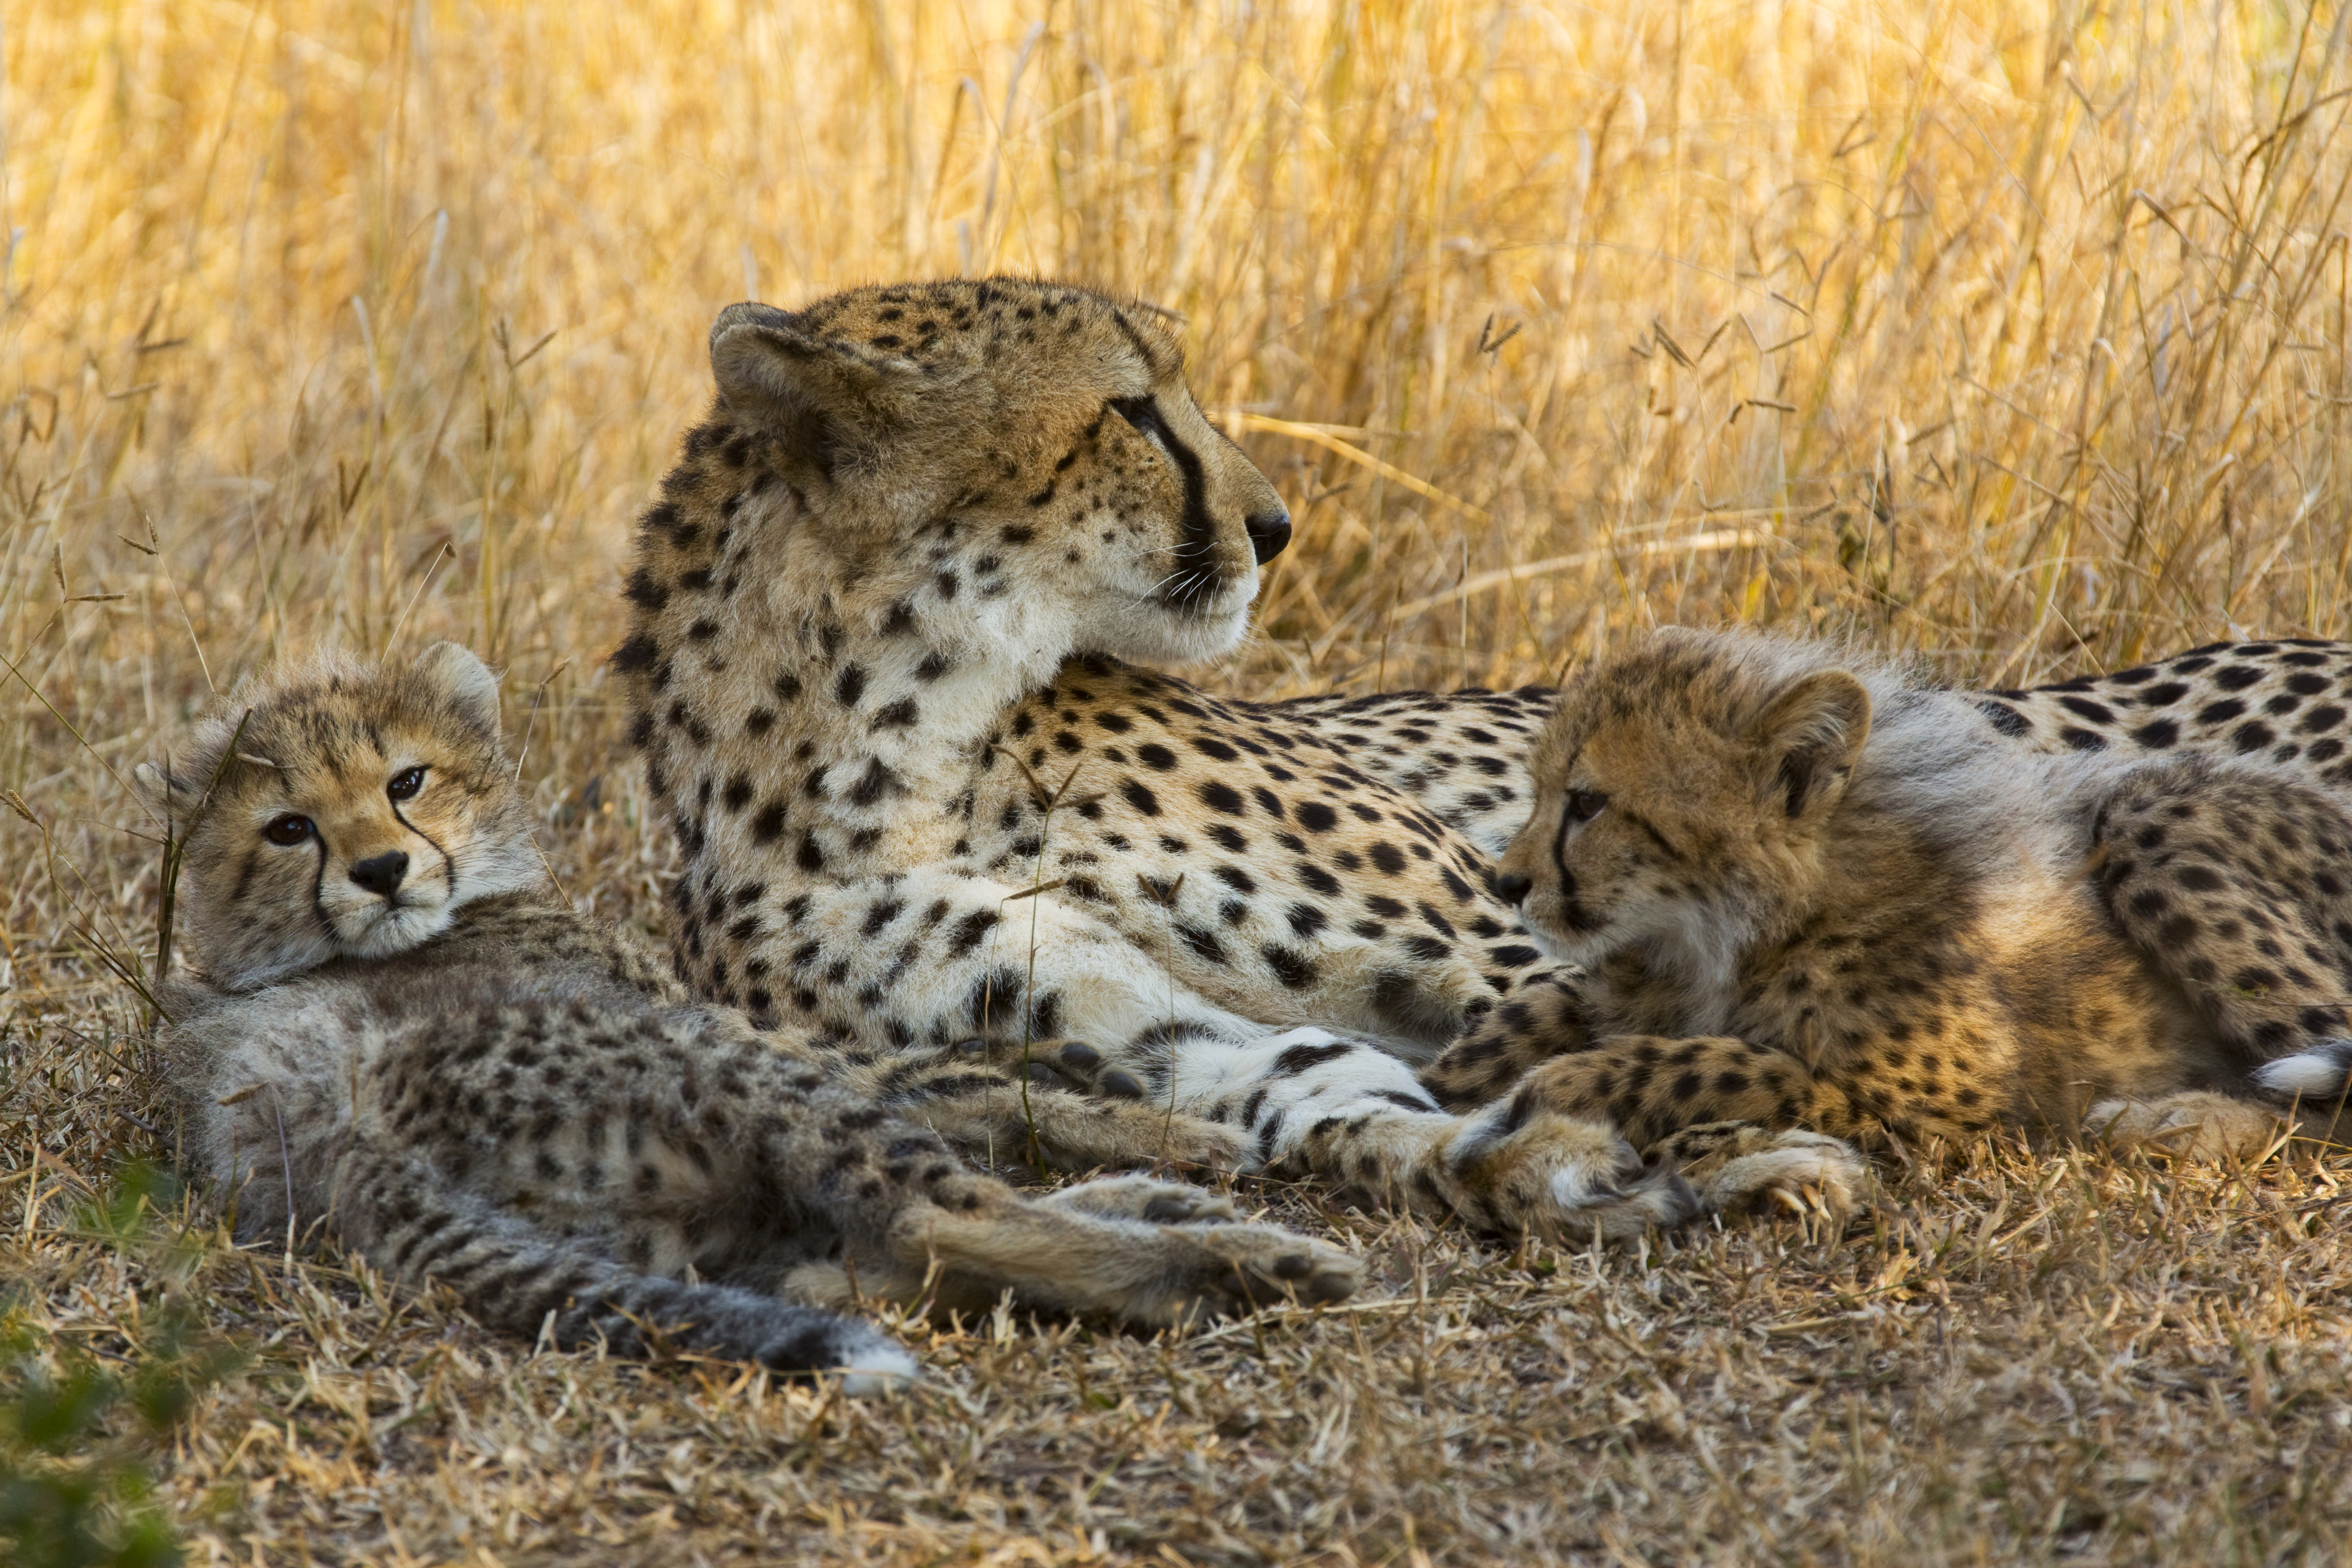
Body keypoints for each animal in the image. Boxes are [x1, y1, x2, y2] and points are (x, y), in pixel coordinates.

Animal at [1439, 630, 2352, 1166]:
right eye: (1539, 790)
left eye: (1589, 803)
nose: (1506, 883)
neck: (1731, 934)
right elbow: (1547, 1002)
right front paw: (1462, 1075)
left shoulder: (1964, 1109)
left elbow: (1743, 1064)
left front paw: (1571, 1082)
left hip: (2149, 811)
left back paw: (2170, 1121)